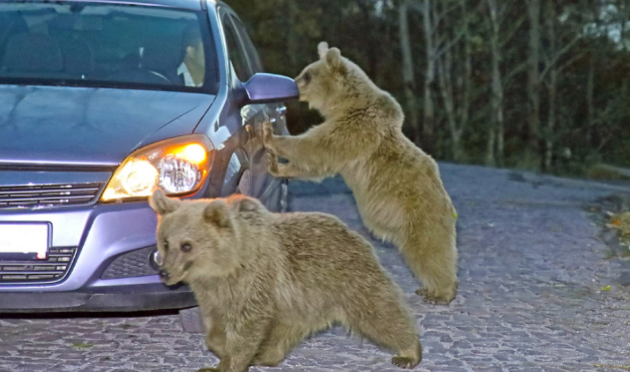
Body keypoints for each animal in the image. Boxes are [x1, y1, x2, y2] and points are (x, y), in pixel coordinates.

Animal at [149, 190, 424, 370]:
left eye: (187, 245)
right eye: (166, 242)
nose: (165, 272)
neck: (224, 267)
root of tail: (355, 234)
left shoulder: (253, 281)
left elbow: (247, 327)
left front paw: (231, 361)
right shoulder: (212, 294)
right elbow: (216, 326)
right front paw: (220, 353)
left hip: (348, 280)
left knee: (380, 314)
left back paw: (409, 351)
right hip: (301, 301)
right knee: (284, 330)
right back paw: (266, 355)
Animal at [260, 42, 460, 306]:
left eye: (307, 75)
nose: (292, 86)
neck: (343, 104)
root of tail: (448, 206)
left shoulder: (354, 129)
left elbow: (315, 147)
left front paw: (269, 135)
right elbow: (315, 164)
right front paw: (276, 165)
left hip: (420, 213)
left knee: (429, 251)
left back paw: (440, 292)